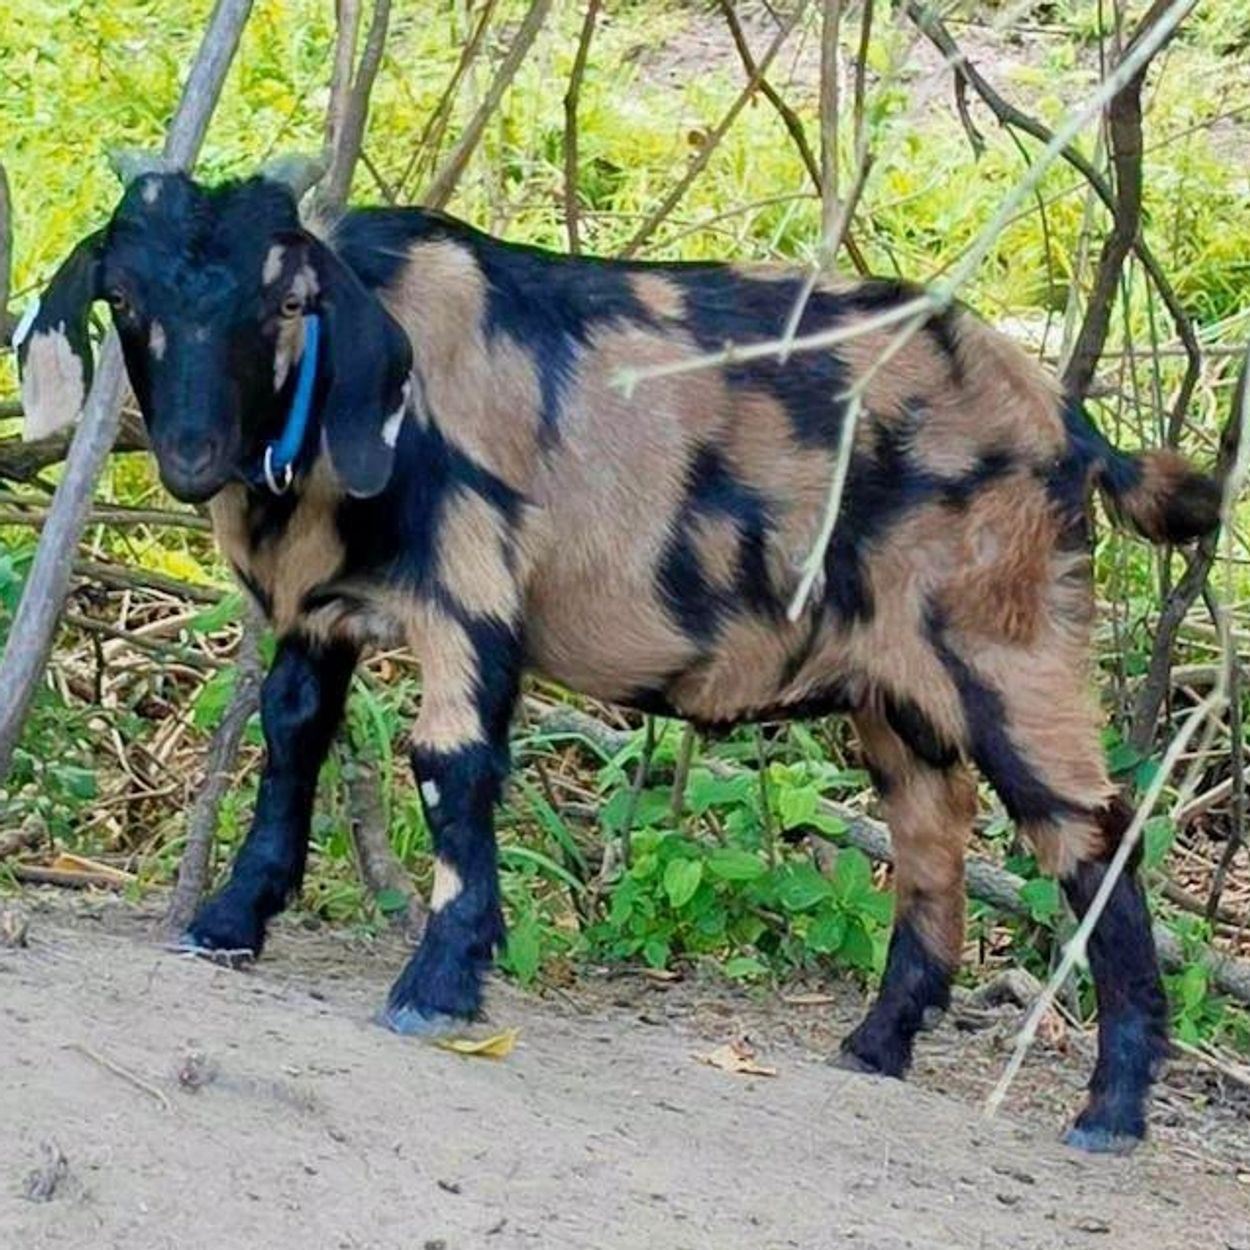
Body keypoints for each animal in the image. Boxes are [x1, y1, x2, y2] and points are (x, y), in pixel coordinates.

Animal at [18, 166, 1221, 1154]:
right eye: (128, 302)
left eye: (283, 304)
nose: (192, 457)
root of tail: (1069, 429)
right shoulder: (317, 618)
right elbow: (289, 736)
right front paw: (227, 922)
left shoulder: (471, 586)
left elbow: (449, 767)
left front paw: (437, 985)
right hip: (896, 692)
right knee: (933, 837)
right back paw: (873, 1047)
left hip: (1006, 644)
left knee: (1092, 830)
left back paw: (1110, 1110)